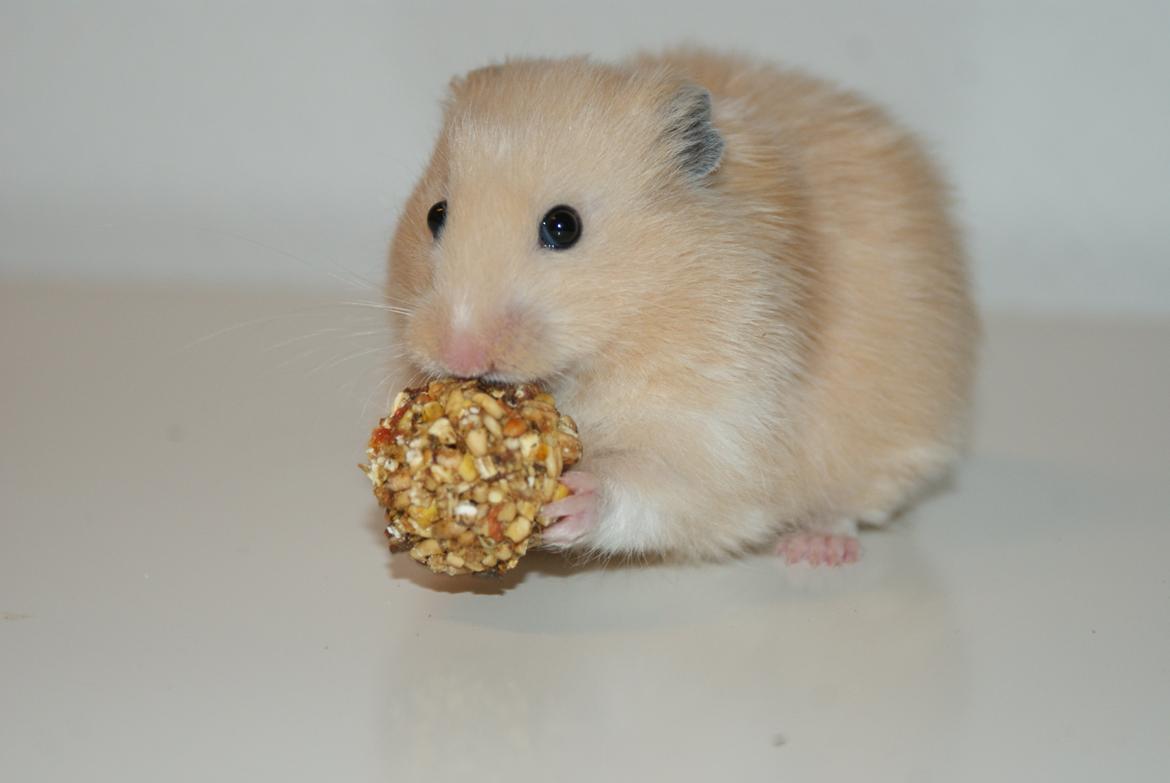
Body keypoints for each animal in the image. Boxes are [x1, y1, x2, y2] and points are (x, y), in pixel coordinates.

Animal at [385, 49, 977, 566]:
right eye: (436, 214)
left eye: (563, 226)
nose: (459, 355)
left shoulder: (723, 428)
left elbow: (658, 486)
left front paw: (570, 498)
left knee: (852, 504)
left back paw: (815, 550)